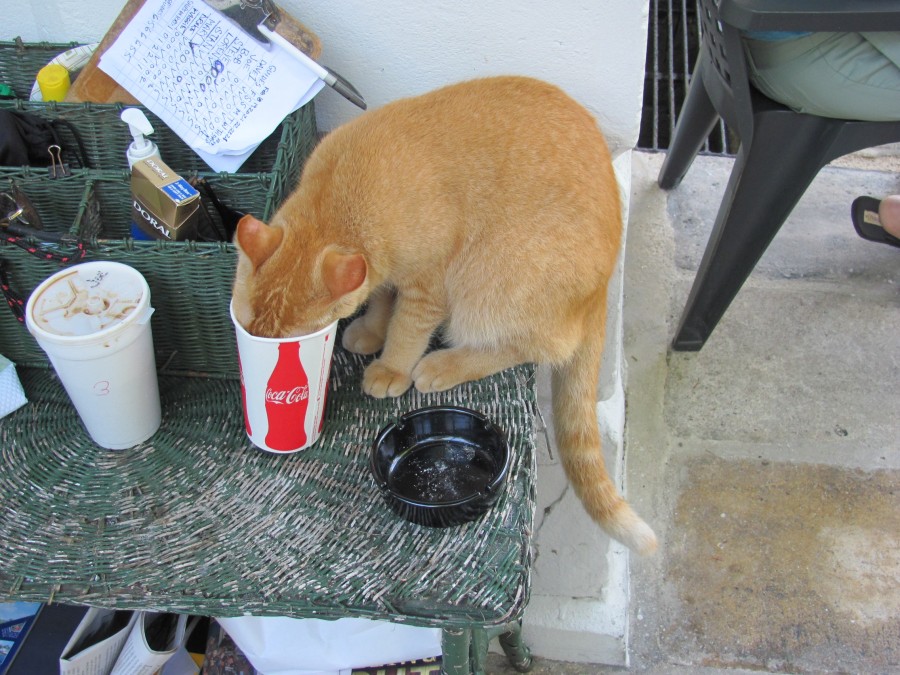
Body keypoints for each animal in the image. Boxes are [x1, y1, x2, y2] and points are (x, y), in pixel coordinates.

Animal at [229, 76, 656, 556]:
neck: (341, 195)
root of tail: (604, 281)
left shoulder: (427, 284)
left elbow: (407, 328)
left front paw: (392, 366)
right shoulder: (385, 270)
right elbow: (381, 298)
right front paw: (371, 330)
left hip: (485, 286)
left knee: (536, 346)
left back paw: (443, 364)